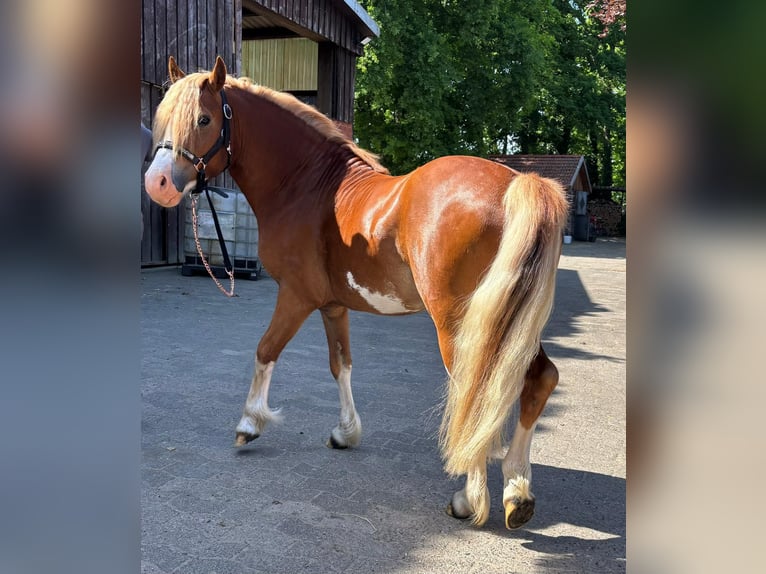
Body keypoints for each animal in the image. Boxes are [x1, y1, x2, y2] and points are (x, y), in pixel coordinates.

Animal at [144, 56, 569, 529]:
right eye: (163, 117)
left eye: (203, 119)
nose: (157, 183)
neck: (309, 186)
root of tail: (517, 184)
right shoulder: (332, 306)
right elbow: (341, 365)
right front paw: (345, 432)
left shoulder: (296, 296)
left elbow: (266, 350)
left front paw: (250, 423)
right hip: (512, 321)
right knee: (539, 378)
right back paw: (517, 492)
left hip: (461, 323)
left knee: (475, 391)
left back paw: (469, 499)